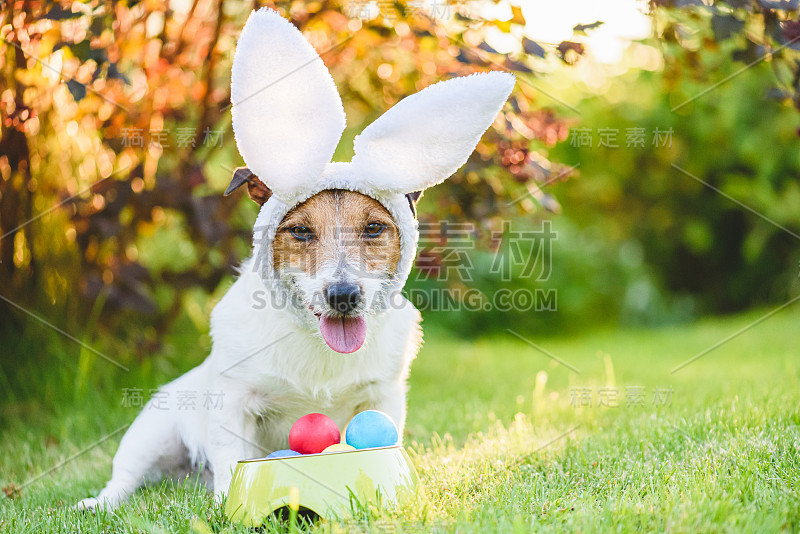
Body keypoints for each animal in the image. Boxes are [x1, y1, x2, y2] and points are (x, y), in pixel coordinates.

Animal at [75, 6, 512, 512]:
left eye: (374, 229)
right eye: (301, 231)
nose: (343, 295)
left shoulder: (384, 398)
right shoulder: (234, 404)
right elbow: (231, 460)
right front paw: (230, 506)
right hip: (154, 427)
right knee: (125, 478)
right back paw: (98, 503)